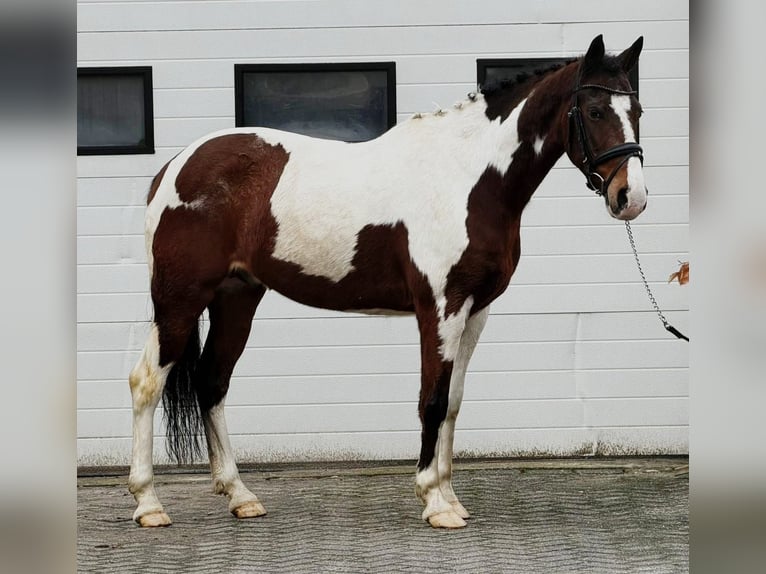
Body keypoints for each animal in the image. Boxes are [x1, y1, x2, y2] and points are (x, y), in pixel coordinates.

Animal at [128, 34, 647, 529]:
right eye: (596, 111)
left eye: (637, 110)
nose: (632, 197)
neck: (467, 179)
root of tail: (174, 167)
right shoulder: (440, 307)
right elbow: (432, 400)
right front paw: (434, 502)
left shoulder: (475, 311)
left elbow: (453, 401)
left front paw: (451, 498)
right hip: (180, 300)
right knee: (147, 382)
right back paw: (149, 503)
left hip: (237, 298)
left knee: (213, 382)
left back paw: (241, 497)